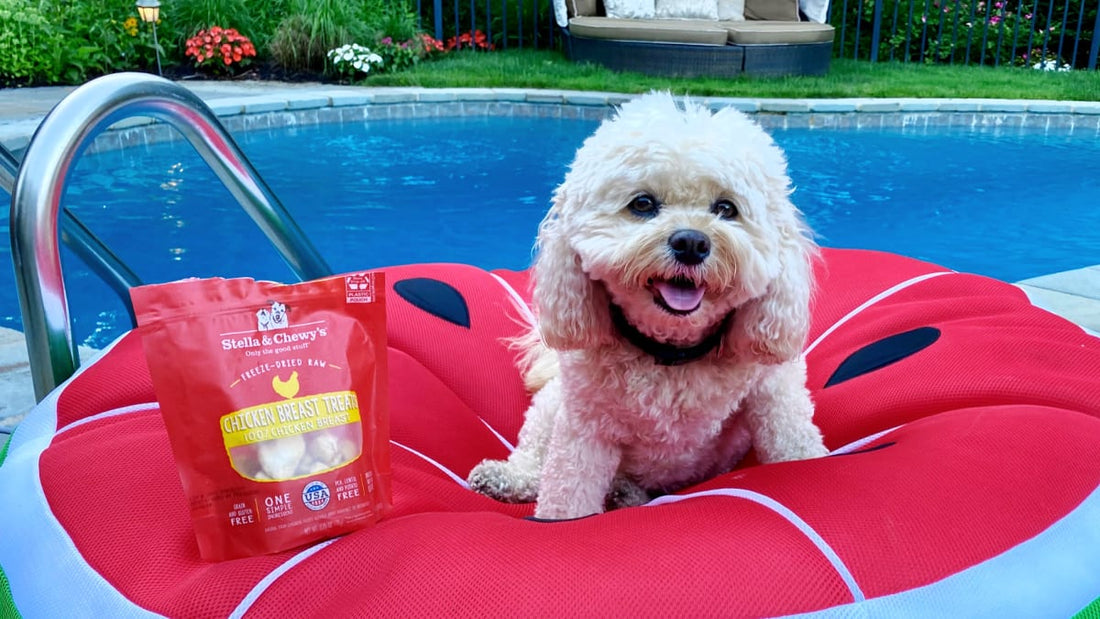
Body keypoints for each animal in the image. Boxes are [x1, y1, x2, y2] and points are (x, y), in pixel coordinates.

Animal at [468, 90, 827, 518]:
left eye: (726, 208)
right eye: (642, 204)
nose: (691, 242)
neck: (672, 354)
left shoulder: (775, 390)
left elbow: (796, 445)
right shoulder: (585, 426)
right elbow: (566, 494)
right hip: (552, 406)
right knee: (534, 457)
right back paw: (508, 477)